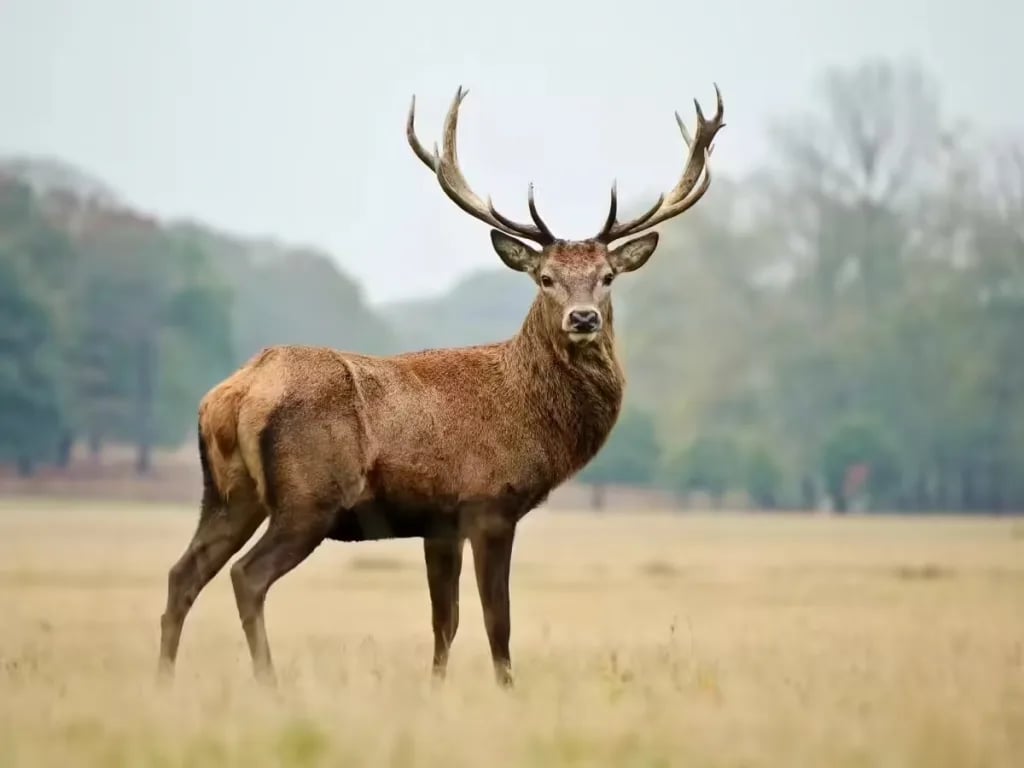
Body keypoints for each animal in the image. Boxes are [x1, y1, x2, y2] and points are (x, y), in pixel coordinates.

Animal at [156, 84, 725, 688]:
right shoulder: (489, 502)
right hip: (307, 497)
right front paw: (506, 690)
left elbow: (444, 622)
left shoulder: (439, 522)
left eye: (608, 277)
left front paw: (435, 689)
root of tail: (234, 393)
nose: (583, 318)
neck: (530, 413)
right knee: (247, 576)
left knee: (182, 573)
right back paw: (269, 684)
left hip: (227, 493)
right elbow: (497, 620)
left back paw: (164, 682)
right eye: (545, 278)